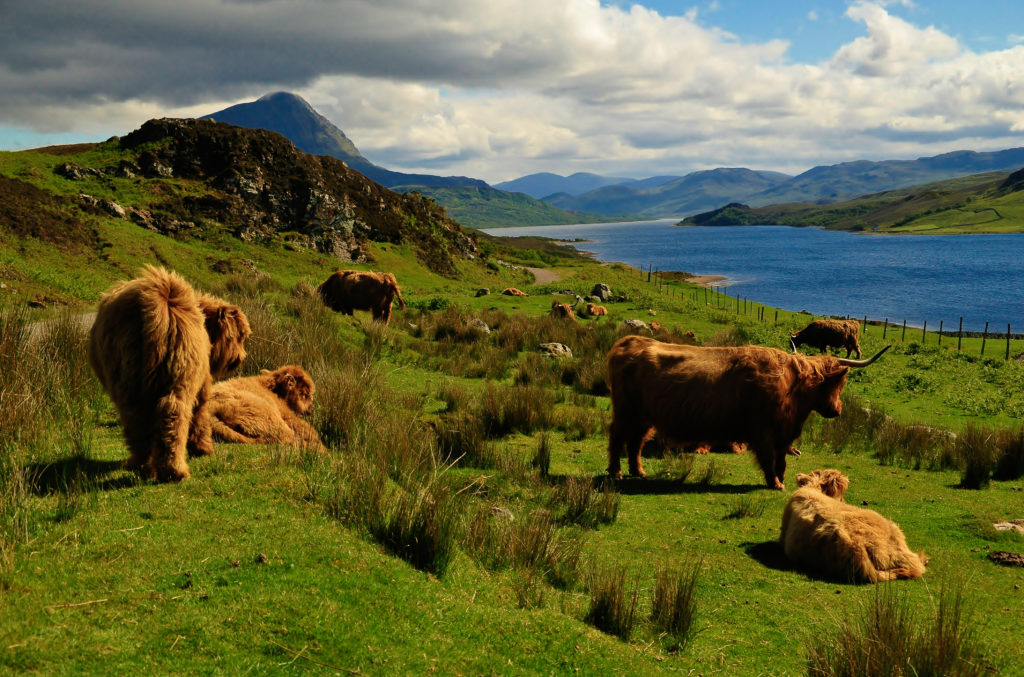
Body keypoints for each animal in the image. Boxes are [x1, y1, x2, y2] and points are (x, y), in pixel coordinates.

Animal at [89, 264, 250, 481]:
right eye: (238, 336)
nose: (241, 357)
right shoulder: (202, 381)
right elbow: (200, 415)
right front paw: (203, 449)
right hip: (181, 371)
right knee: (174, 412)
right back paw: (173, 470)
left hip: (126, 377)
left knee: (136, 418)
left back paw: (142, 465)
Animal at [606, 335, 888, 485]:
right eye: (840, 384)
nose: (838, 410)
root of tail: (630, 341)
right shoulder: (762, 431)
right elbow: (768, 459)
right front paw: (775, 484)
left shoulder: (783, 433)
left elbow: (781, 459)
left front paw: (781, 479)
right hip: (626, 411)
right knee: (617, 438)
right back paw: (617, 472)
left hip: (643, 416)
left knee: (636, 442)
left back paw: (638, 471)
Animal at [778, 469, 933, 581]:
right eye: (840, 494)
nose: (844, 500)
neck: (812, 489)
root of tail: (857, 545)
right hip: (897, 537)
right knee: (916, 565)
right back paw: (923, 560)